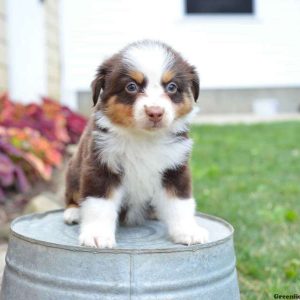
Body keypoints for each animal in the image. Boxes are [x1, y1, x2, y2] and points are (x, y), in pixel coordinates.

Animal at [63, 39, 209, 248]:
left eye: (172, 87)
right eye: (131, 87)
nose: (155, 112)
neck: (143, 138)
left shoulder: (175, 168)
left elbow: (180, 203)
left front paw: (188, 231)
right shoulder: (100, 166)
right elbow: (99, 204)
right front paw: (97, 235)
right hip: (74, 170)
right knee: (73, 195)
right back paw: (73, 212)